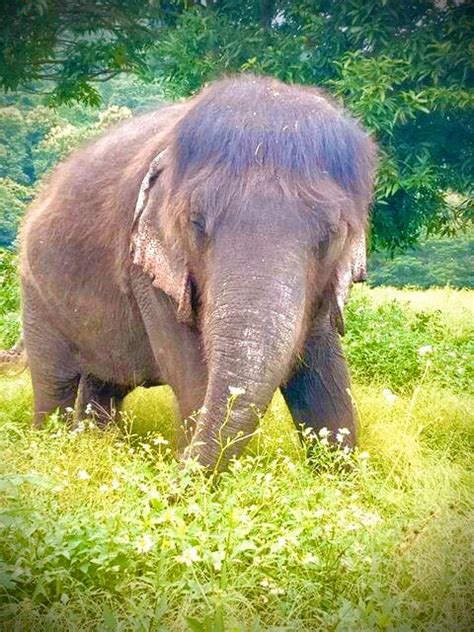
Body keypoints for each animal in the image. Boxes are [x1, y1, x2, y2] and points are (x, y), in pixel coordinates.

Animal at [19, 74, 378, 472]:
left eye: (332, 235)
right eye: (196, 222)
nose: (174, 471)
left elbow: (325, 380)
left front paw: (340, 475)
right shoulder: (146, 272)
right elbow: (194, 379)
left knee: (105, 384)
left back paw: (96, 442)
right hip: (35, 293)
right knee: (55, 383)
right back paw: (50, 448)